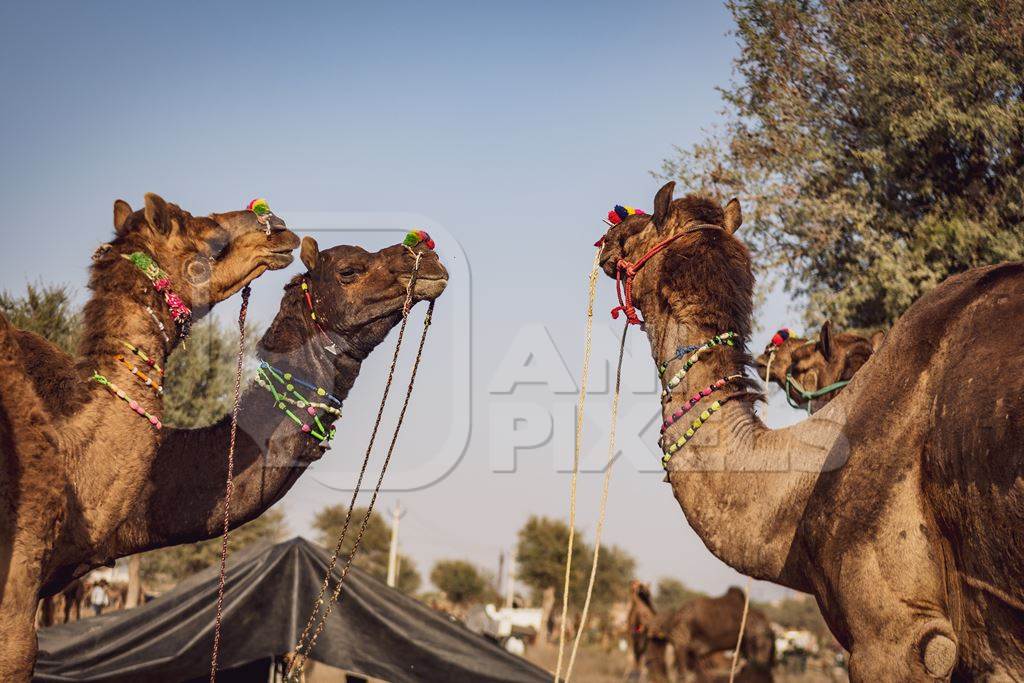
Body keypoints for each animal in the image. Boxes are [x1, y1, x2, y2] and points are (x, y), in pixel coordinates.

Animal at [622, 581, 774, 683]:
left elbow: (684, 674)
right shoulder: (692, 651)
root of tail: (767, 622)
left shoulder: (681, 642)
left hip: (757, 642)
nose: (638, 587)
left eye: (643, 589)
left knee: (760, 664)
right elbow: (694, 674)